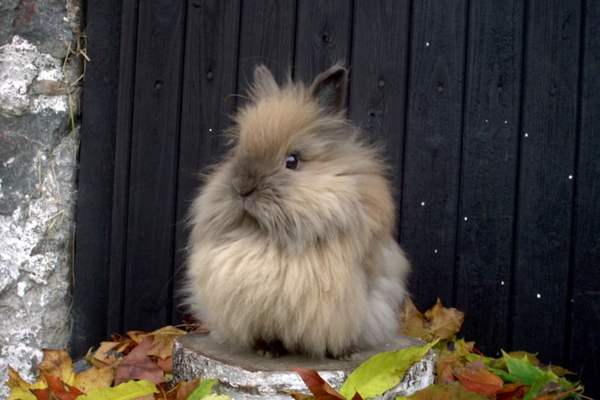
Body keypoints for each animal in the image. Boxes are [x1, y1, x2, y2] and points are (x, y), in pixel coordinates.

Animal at [185, 64, 410, 358]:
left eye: (292, 161)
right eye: (239, 152)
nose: (242, 188)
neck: (266, 237)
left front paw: (341, 353)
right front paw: (268, 349)